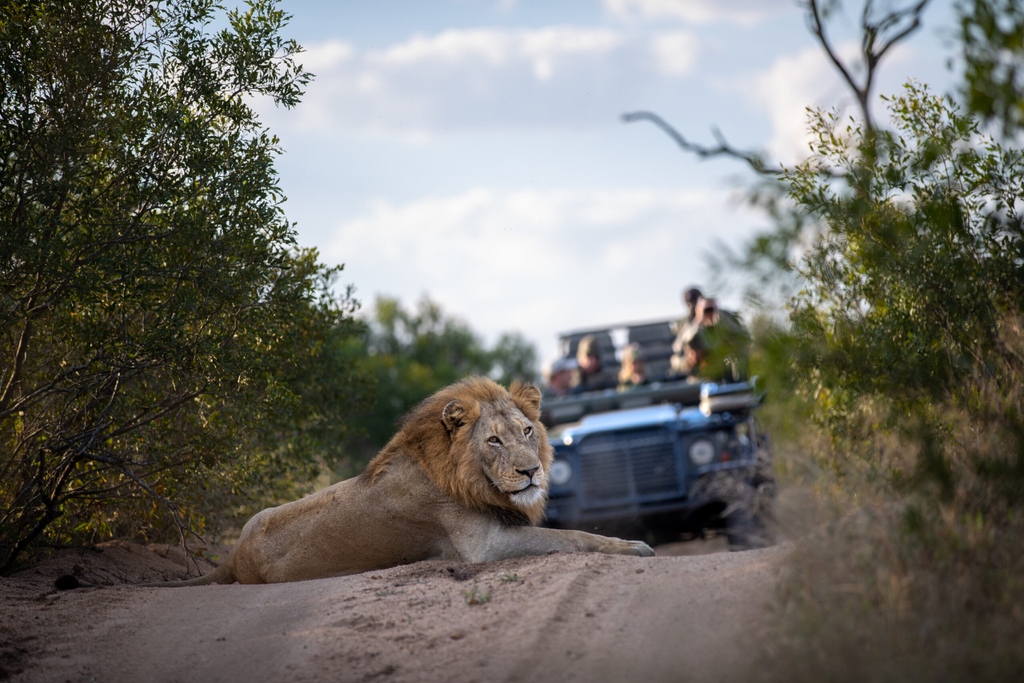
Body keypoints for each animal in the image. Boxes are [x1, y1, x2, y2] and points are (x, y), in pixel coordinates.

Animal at [150, 376, 653, 586]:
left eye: (527, 431)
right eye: (493, 440)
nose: (532, 471)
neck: (462, 476)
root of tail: (233, 557)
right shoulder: (483, 547)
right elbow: (573, 536)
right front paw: (634, 547)